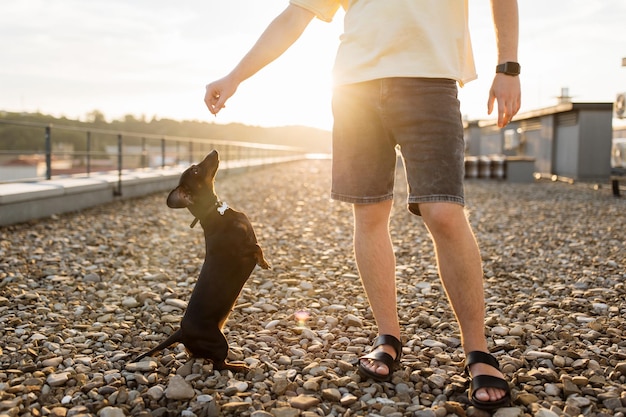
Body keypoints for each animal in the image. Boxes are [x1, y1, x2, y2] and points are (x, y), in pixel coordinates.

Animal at [132, 150, 268, 370]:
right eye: (195, 170)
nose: (214, 151)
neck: (215, 211)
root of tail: (181, 332)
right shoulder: (243, 249)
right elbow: (257, 247)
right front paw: (264, 262)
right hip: (219, 342)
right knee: (219, 364)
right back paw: (239, 366)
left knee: (196, 355)